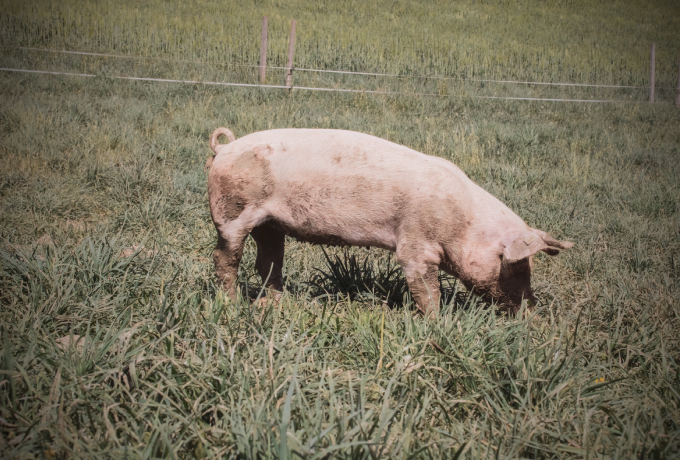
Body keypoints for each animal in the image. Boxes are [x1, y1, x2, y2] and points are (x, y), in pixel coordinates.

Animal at [205, 126, 572, 316]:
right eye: (516, 266)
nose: (532, 308)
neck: (463, 223)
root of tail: (224, 149)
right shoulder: (416, 242)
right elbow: (426, 288)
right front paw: (435, 323)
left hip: (270, 224)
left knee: (267, 261)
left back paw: (277, 304)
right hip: (231, 212)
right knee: (224, 258)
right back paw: (231, 303)